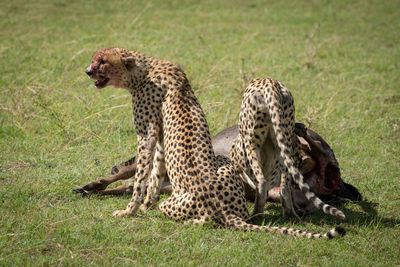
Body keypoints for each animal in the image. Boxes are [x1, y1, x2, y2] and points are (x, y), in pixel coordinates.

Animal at [230, 78, 346, 221]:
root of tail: (270, 83)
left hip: (248, 143)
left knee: (261, 181)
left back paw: (256, 216)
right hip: (284, 144)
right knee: (285, 187)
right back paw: (291, 215)